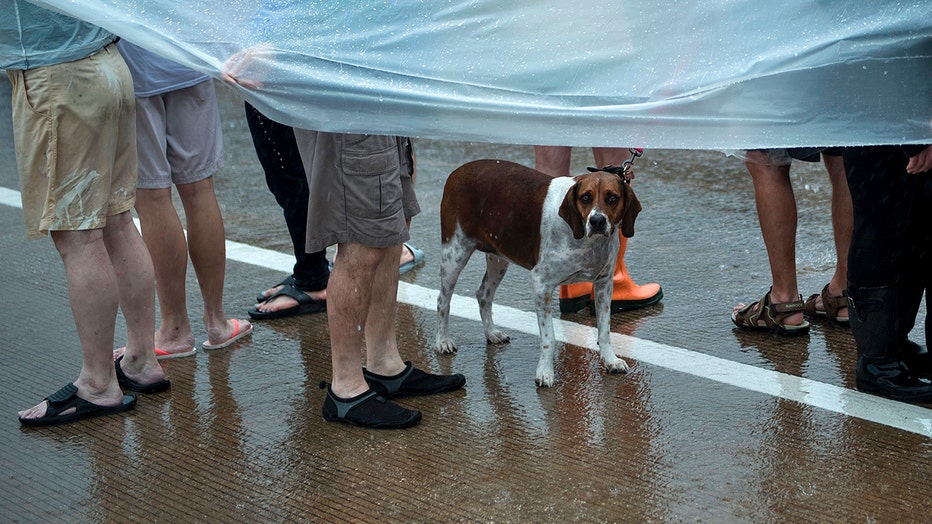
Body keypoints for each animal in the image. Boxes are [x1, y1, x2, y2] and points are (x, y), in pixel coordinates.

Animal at [436, 159, 640, 384]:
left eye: (612, 198)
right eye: (585, 197)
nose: (597, 221)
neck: (585, 240)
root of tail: (458, 170)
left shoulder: (604, 284)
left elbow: (604, 331)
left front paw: (611, 360)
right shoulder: (541, 284)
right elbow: (549, 338)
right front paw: (545, 371)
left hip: (498, 257)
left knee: (483, 295)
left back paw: (491, 332)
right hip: (454, 255)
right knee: (443, 301)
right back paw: (442, 340)